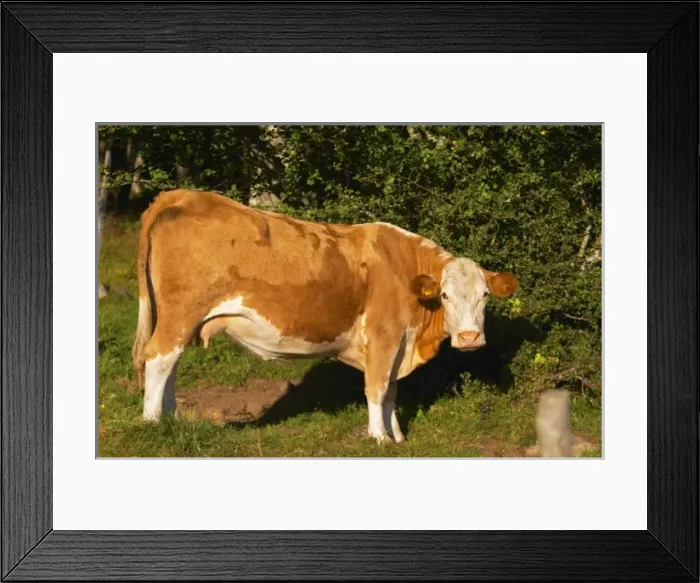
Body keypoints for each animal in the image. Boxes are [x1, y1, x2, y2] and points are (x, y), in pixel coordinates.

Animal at [132, 189, 518, 442]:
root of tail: (184, 195)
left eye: (484, 295)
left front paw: (397, 437)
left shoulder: (398, 342)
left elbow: (392, 390)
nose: (469, 338)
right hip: (181, 314)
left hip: (179, 319)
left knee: (170, 364)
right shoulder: (383, 335)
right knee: (159, 359)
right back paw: (152, 424)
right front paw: (379, 438)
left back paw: (172, 418)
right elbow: (377, 388)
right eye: (445, 295)